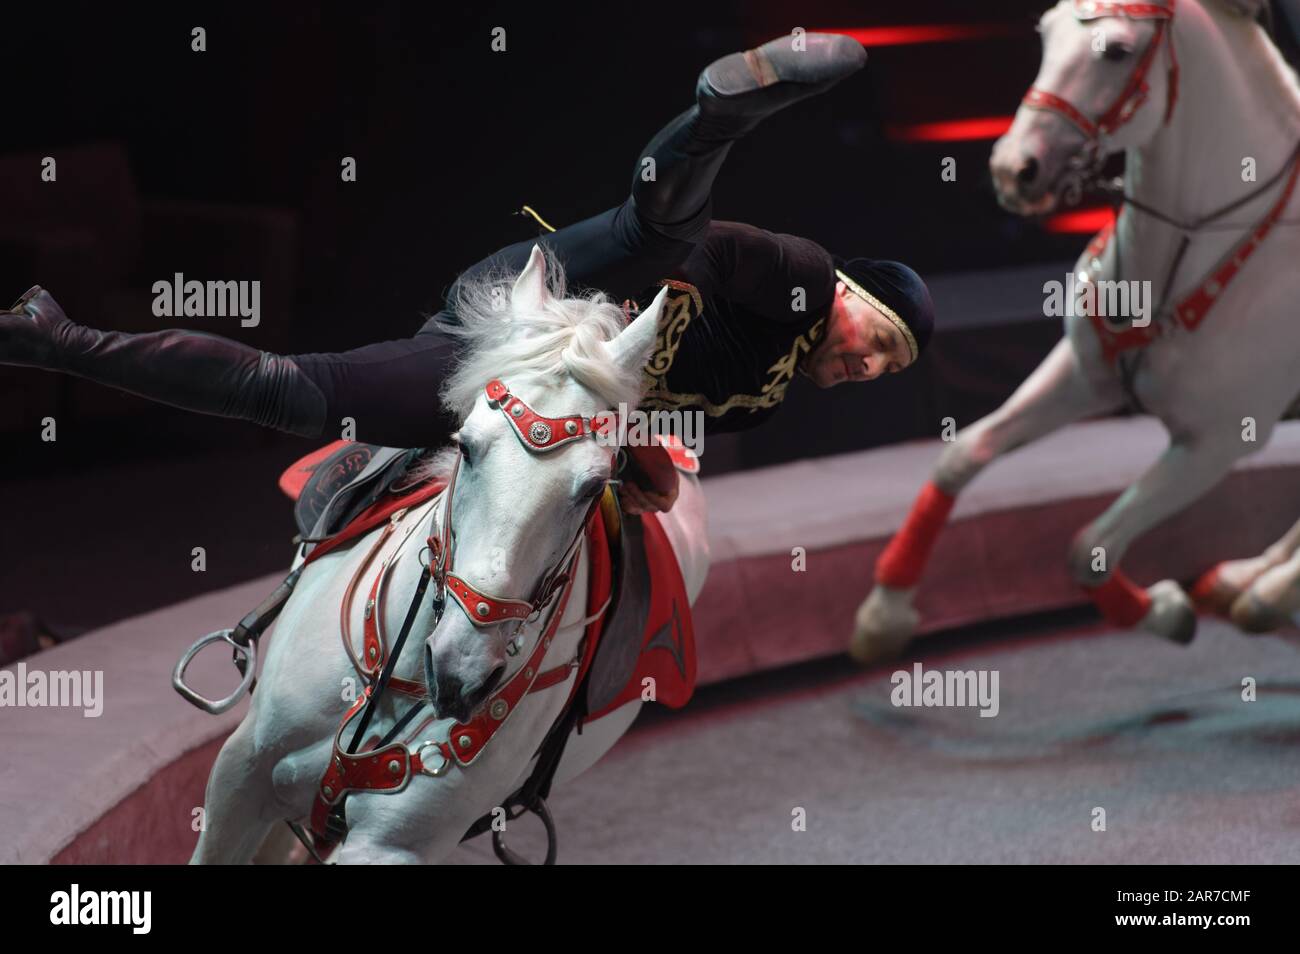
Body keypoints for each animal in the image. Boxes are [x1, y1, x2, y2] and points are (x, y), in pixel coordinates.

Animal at [189, 248, 712, 868]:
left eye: (593, 486)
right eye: (466, 444)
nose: (460, 671)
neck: (402, 683)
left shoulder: (387, 847)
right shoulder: (240, 772)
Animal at [852, 0, 1300, 665]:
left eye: (1116, 50)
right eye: (1046, 33)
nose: (1014, 169)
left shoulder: (1215, 441)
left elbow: (1087, 550)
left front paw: (1165, 611)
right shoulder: (1084, 375)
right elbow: (961, 456)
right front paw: (883, 615)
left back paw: (1268, 592)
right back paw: (1248, 579)